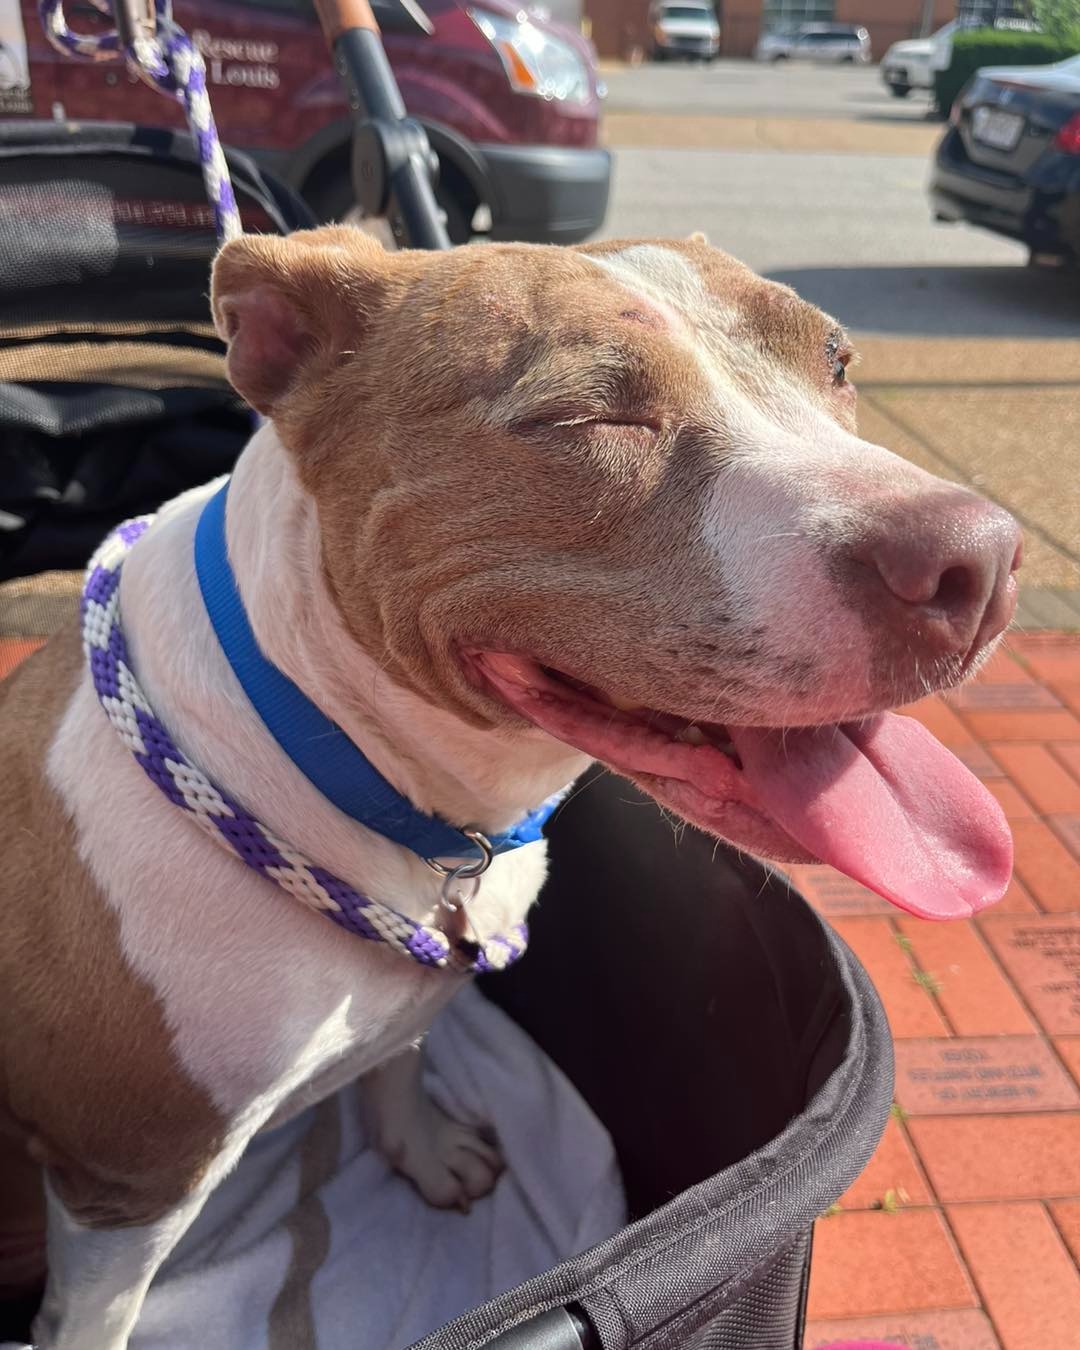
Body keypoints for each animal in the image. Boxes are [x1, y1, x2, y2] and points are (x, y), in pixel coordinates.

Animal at [0, 226, 1020, 1344]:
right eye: (586, 417)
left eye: (835, 361)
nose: (978, 561)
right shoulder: (127, 1182)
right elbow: (96, 1316)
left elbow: (397, 1065)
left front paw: (423, 1146)